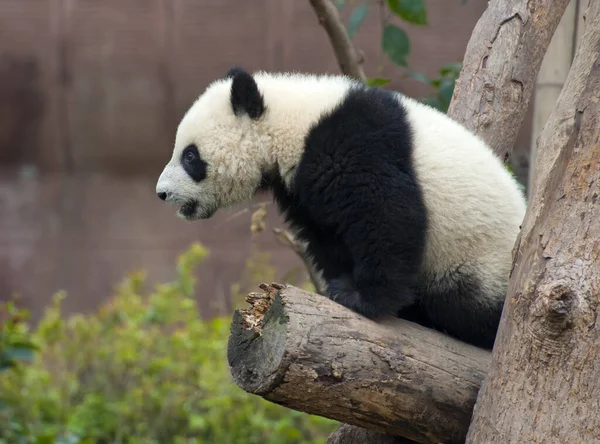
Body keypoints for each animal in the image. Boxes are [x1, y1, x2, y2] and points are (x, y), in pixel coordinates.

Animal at [157, 67, 528, 350]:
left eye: (190, 156)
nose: (162, 193)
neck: (290, 122)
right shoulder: (303, 190)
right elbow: (328, 235)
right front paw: (342, 284)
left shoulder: (354, 143)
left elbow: (387, 211)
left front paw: (359, 296)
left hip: (476, 260)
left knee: (465, 305)